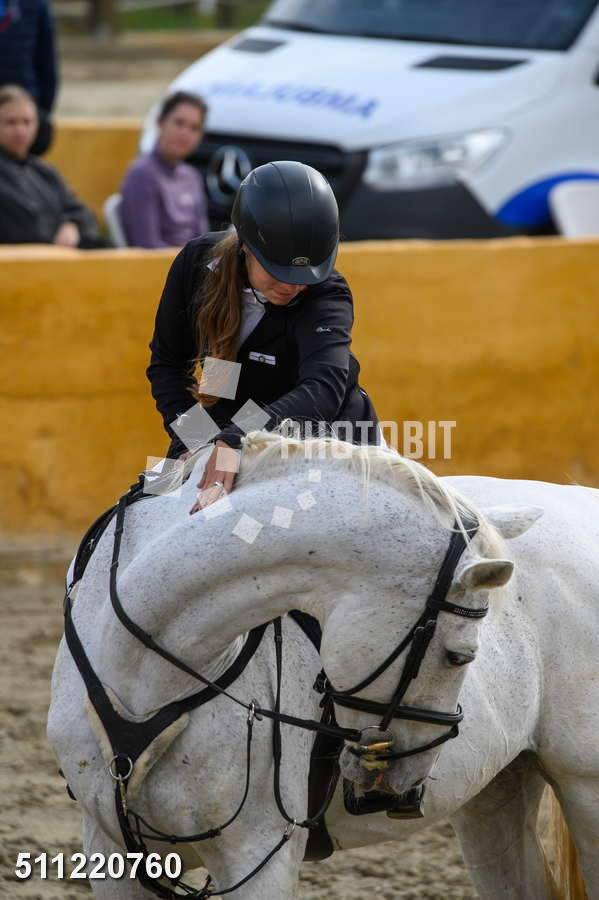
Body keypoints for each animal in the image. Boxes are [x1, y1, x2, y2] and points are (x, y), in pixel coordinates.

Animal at [47, 431, 598, 899]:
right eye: (459, 655)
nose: (407, 783)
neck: (146, 675)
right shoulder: (111, 851)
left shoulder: (258, 856)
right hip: (497, 788)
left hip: (584, 785)